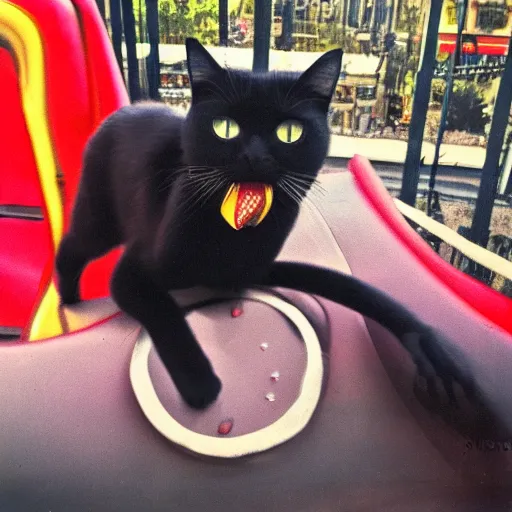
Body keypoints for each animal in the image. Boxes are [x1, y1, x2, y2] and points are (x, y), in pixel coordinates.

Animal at [57, 38, 476, 410]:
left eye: (289, 132)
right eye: (224, 127)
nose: (253, 156)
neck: (235, 229)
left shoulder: (254, 269)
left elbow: (353, 289)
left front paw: (429, 347)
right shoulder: (133, 272)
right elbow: (165, 311)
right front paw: (201, 385)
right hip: (100, 217)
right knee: (72, 246)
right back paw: (70, 299)